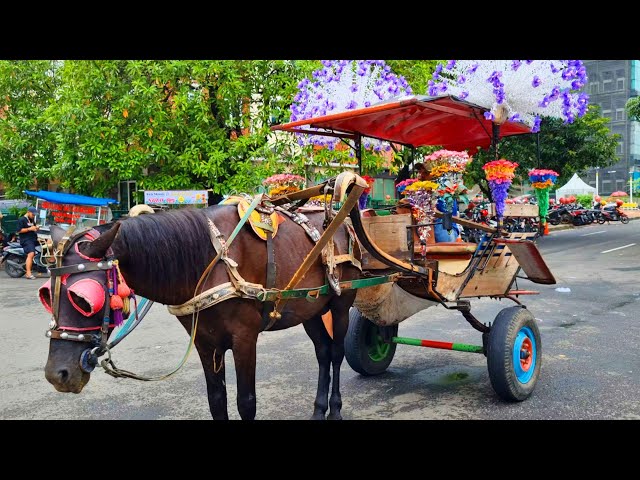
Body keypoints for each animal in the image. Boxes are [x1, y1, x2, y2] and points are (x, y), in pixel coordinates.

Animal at [41, 193, 364, 418]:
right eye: (46, 295)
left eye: (83, 298)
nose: (57, 374)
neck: (208, 260)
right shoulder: (205, 342)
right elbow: (216, 401)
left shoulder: (245, 339)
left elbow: (246, 403)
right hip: (309, 308)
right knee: (323, 352)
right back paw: (319, 409)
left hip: (340, 303)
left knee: (336, 353)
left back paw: (335, 409)